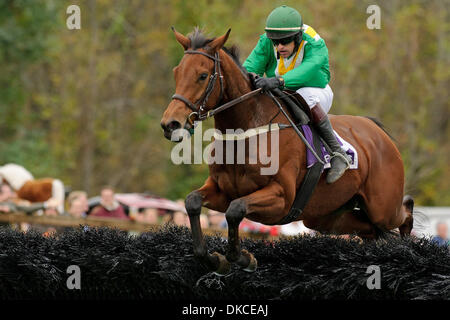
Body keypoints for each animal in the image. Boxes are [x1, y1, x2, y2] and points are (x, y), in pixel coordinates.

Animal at [160, 27, 414, 274]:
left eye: (202, 76)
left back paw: (410, 250)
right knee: (371, 230)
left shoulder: (281, 197)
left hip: (383, 207)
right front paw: (215, 260)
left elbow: (235, 210)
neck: (247, 132)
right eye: (176, 72)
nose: (170, 124)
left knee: (406, 211)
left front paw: (244, 259)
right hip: (327, 216)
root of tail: (377, 131)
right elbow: (193, 202)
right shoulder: (222, 190)